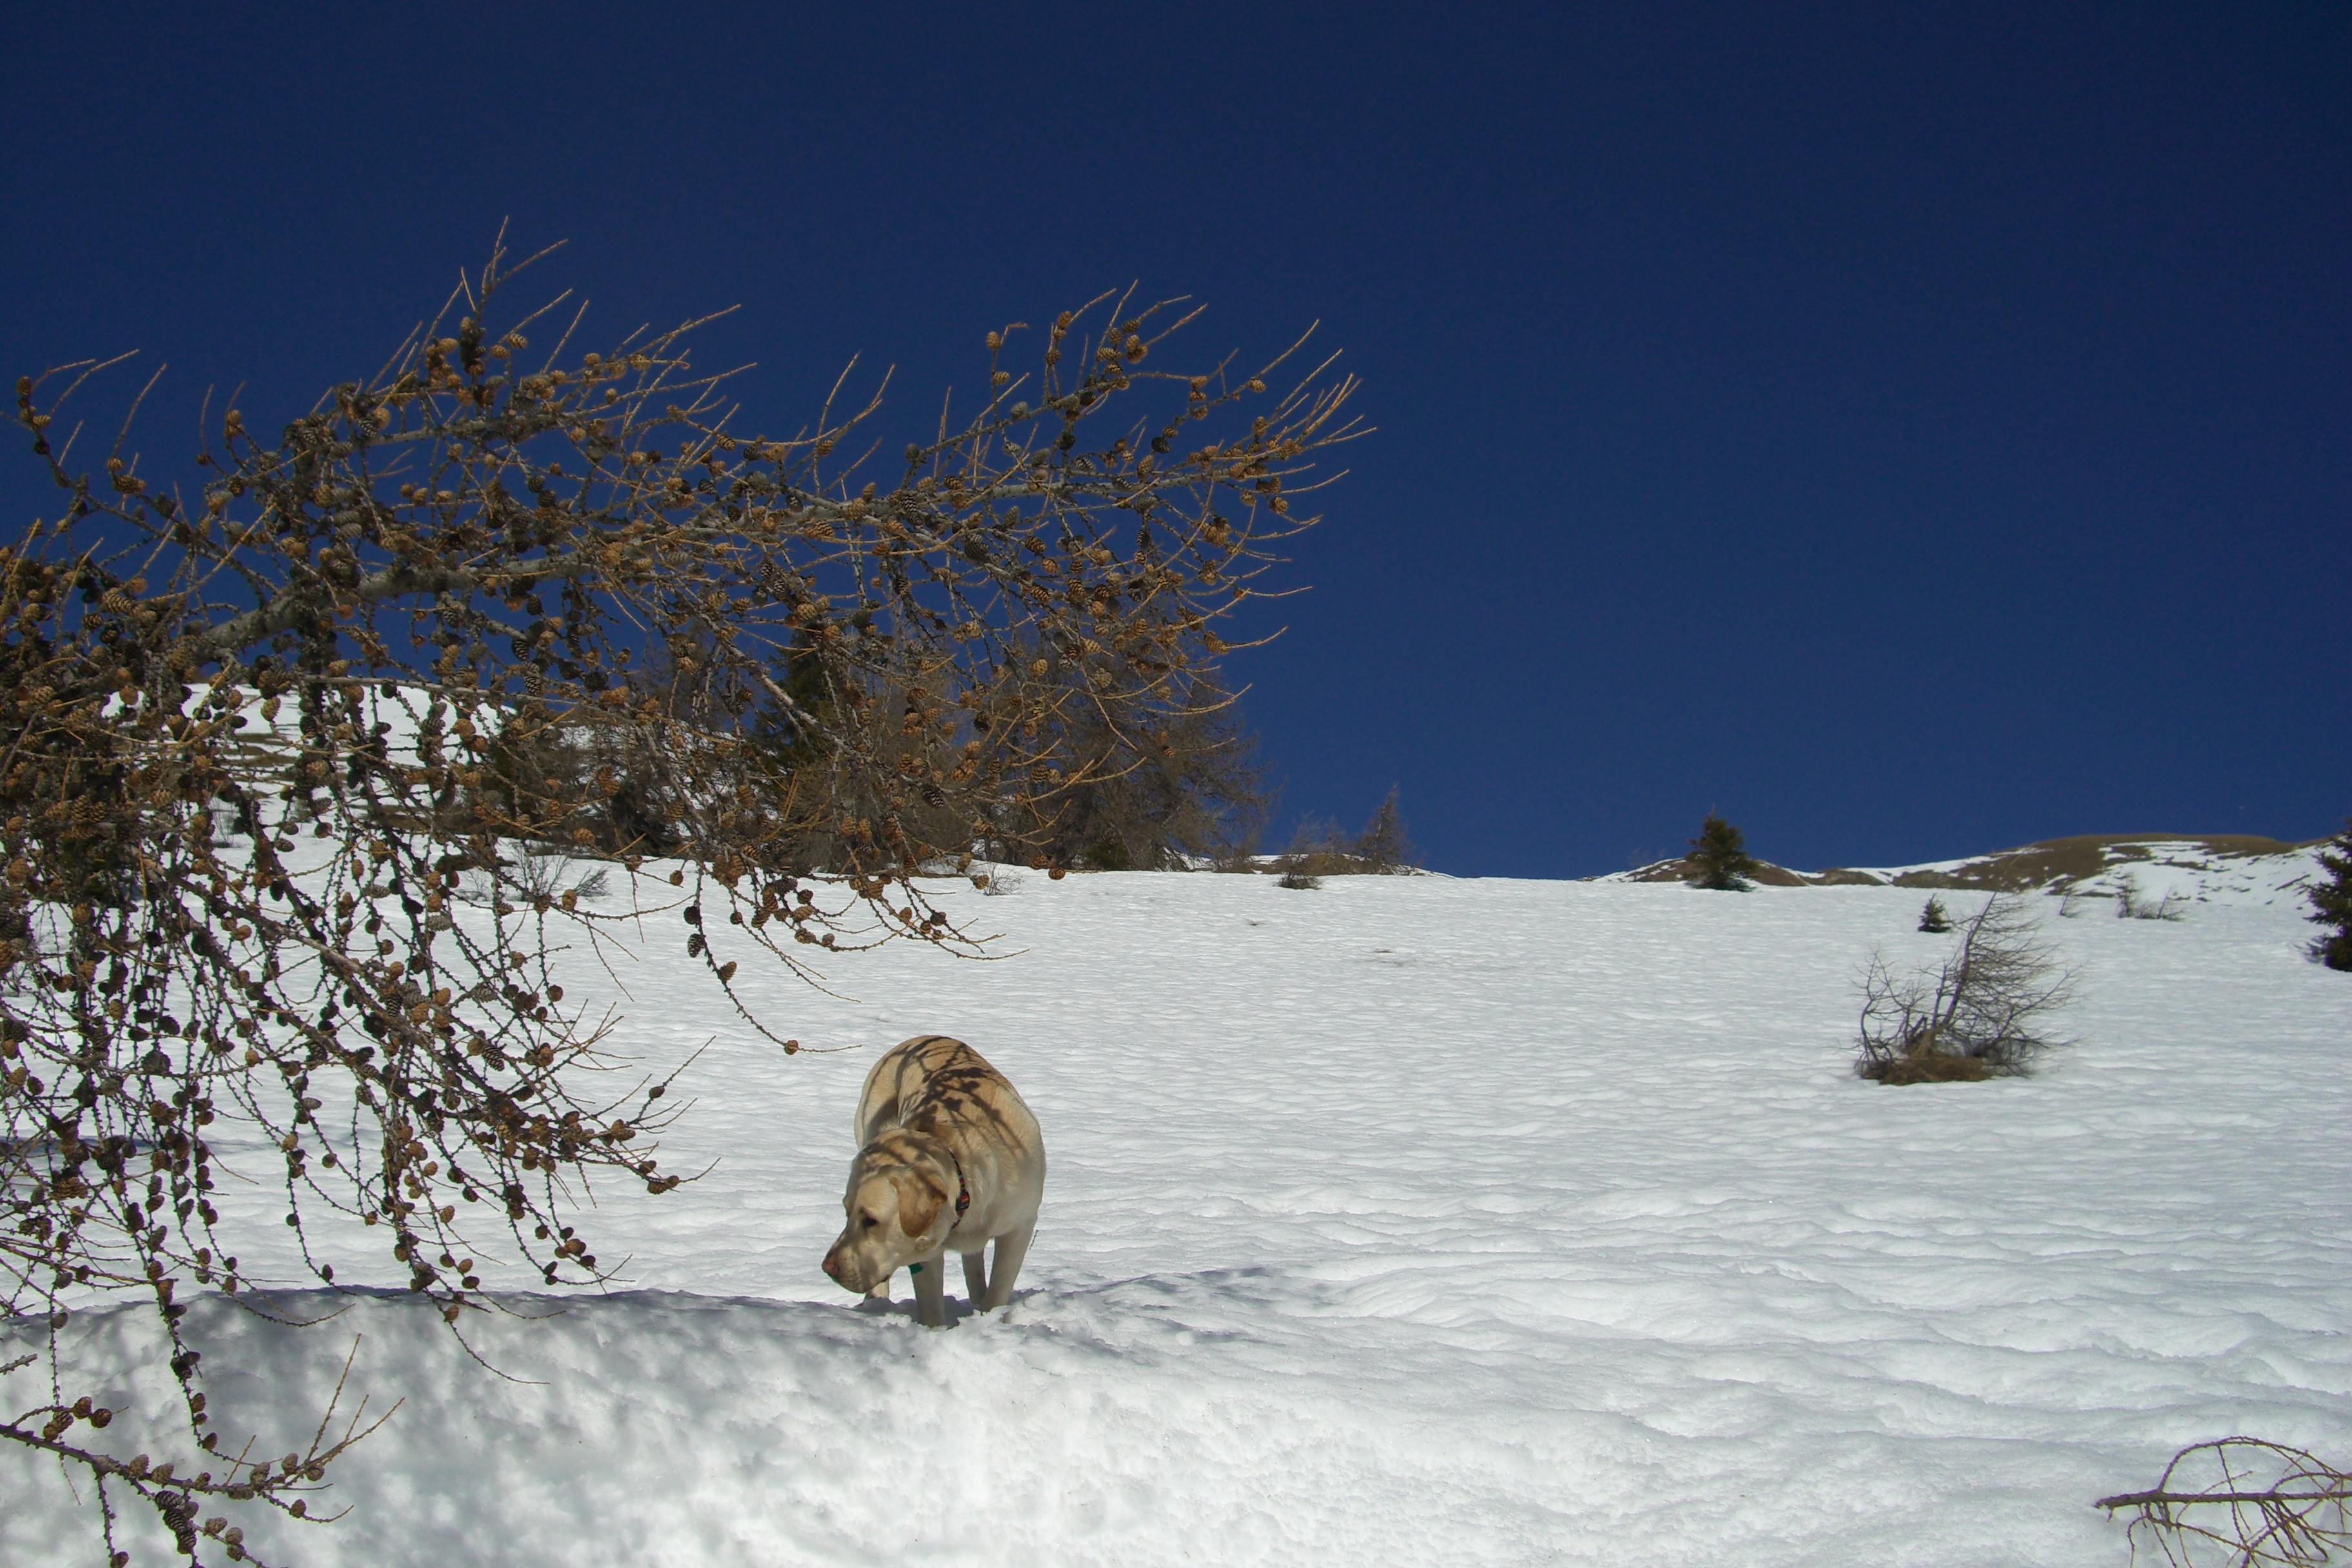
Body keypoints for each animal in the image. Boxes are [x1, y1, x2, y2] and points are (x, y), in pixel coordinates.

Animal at [828, 1043, 1049, 1326]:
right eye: (847, 1212)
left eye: (871, 1220)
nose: (828, 1268)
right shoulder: (924, 1248)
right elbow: (931, 1303)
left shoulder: (1020, 1226)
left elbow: (999, 1288)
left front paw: (987, 1317)